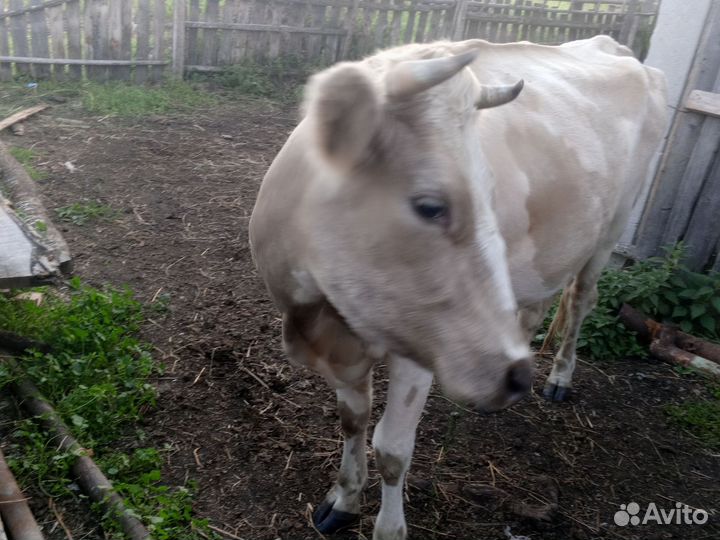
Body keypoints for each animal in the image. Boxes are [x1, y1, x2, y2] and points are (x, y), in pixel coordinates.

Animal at [249, 36, 667, 540]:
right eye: (431, 206)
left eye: (489, 191)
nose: (513, 377)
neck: (318, 321)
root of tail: (613, 48)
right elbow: (352, 420)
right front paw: (344, 498)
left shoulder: (421, 345)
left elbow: (391, 448)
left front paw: (389, 527)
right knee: (537, 305)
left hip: (613, 228)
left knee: (581, 298)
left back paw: (558, 377)